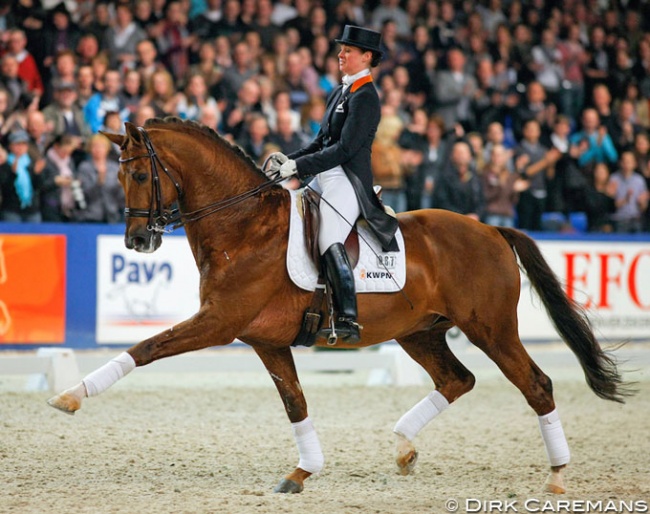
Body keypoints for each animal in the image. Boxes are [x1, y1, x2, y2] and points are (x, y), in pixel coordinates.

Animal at [46, 119, 628, 492]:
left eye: (140, 175)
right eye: (117, 176)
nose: (137, 242)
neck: (242, 227)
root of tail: (489, 229)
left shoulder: (218, 323)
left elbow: (146, 347)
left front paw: (70, 396)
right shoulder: (265, 340)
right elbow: (295, 403)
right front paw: (303, 472)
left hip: (491, 329)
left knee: (536, 384)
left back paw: (557, 476)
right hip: (419, 331)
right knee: (457, 379)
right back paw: (403, 447)